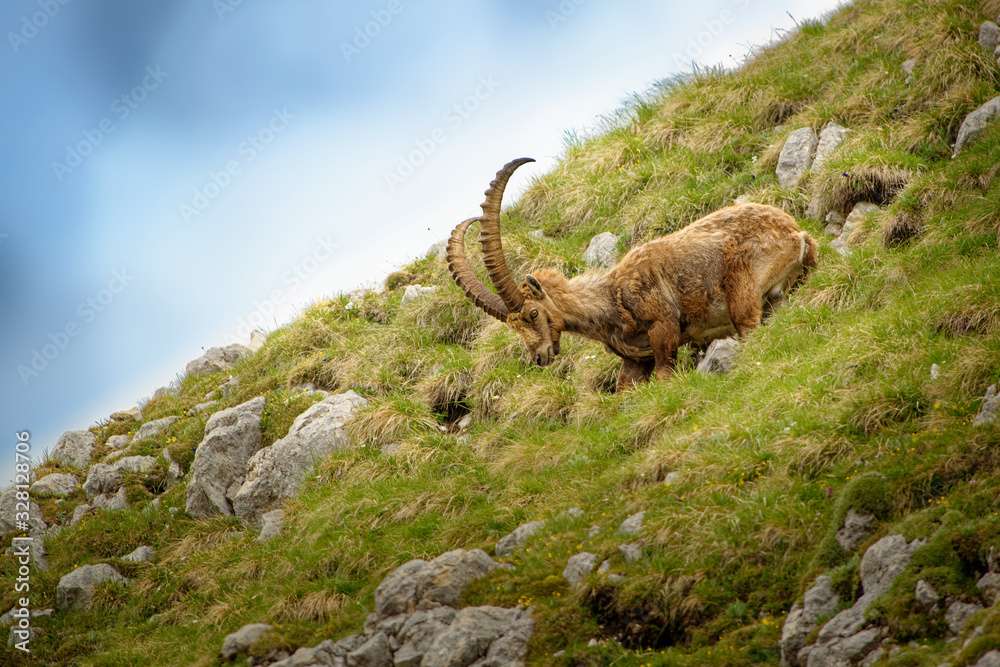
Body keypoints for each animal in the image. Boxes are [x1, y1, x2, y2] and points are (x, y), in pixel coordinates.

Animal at [447, 158, 818, 391]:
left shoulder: (664, 328)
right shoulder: (635, 361)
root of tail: (796, 235)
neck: (609, 300)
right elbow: (626, 388)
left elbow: (666, 373)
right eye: (513, 326)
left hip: (742, 292)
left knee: (748, 324)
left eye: (533, 313)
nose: (539, 358)